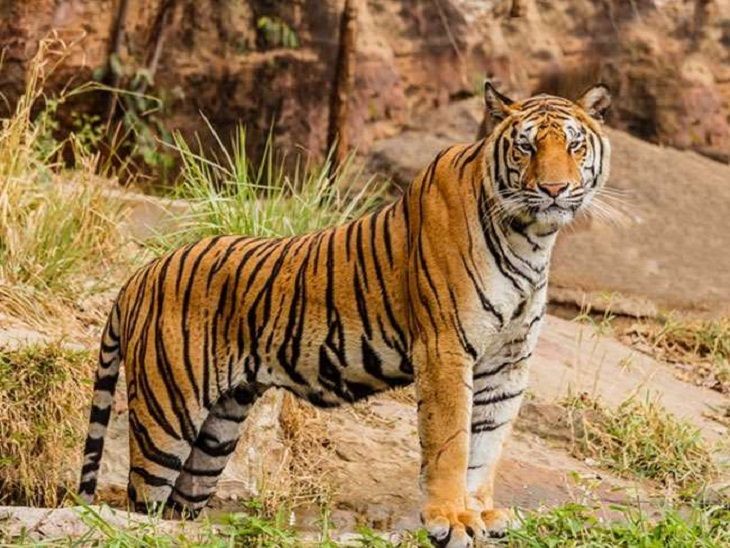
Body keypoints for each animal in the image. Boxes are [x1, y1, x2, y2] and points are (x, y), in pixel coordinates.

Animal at [78, 81, 611, 547]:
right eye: (525, 147)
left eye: (574, 145)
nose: (555, 189)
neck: (531, 238)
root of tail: (139, 274)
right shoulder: (445, 349)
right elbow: (452, 442)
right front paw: (451, 520)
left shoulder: (508, 361)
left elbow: (487, 444)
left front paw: (480, 513)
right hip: (166, 415)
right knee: (141, 500)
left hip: (218, 431)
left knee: (178, 506)